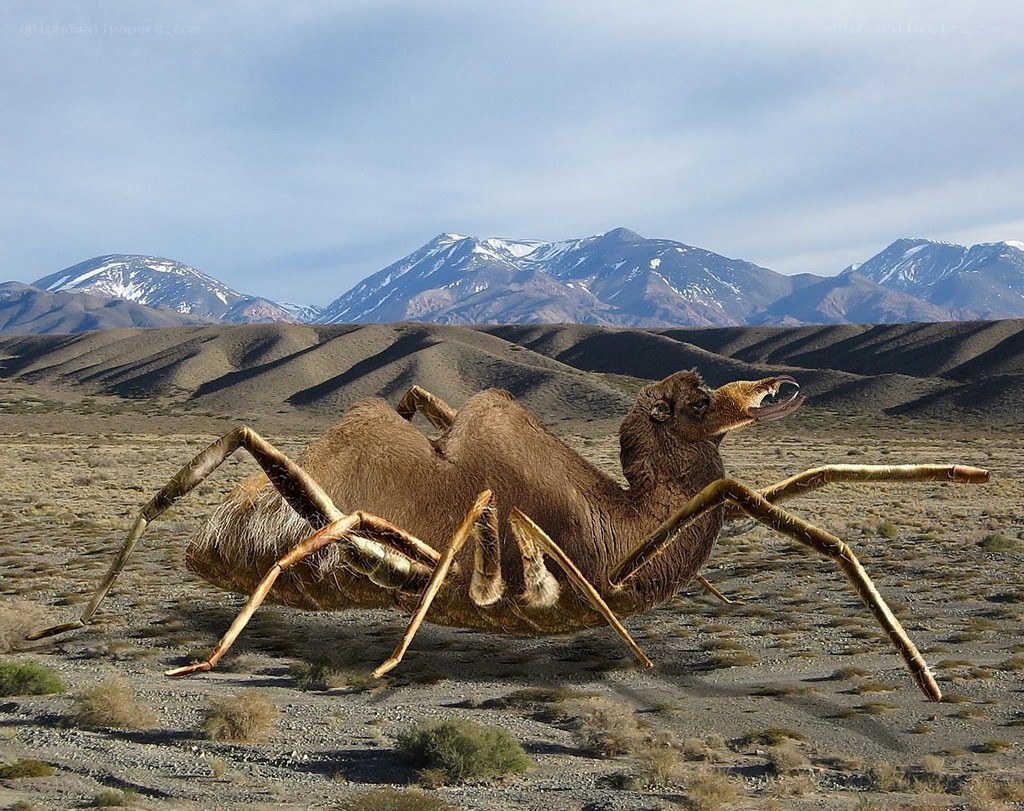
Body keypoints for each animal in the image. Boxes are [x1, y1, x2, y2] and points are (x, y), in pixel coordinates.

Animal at [30, 370, 989, 701]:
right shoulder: (530, 548)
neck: (630, 513)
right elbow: (793, 517)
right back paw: (132, 636)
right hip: (330, 528)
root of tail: (210, 539)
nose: (775, 389)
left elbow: (799, 489)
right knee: (268, 501)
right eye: (690, 402)